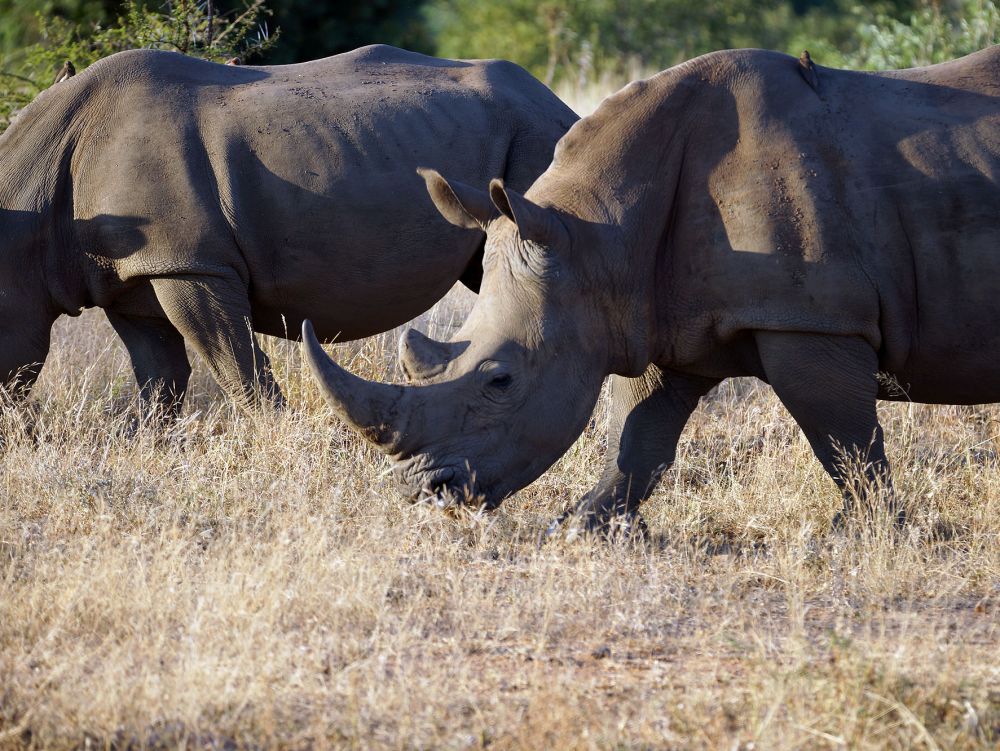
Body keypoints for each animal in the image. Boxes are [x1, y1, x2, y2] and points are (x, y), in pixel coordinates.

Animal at [0, 44, 580, 414]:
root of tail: (560, 105)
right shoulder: (132, 276)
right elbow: (160, 383)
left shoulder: (191, 264)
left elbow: (236, 367)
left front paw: (273, 439)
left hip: (535, 137)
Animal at [302, 45, 1000, 528]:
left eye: (500, 381)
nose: (428, 494)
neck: (598, 236)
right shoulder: (660, 313)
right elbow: (639, 432)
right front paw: (579, 528)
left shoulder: (810, 316)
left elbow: (843, 438)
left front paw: (868, 532)